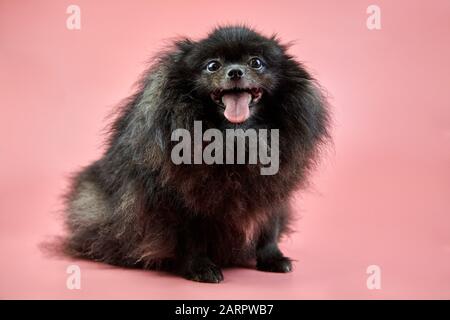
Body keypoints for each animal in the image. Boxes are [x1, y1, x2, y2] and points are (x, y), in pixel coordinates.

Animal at [62, 25, 330, 282]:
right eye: (212, 66)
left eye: (256, 62)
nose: (235, 72)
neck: (235, 139)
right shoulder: (183, 199)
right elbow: (192, 239)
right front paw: (200, 267)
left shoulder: (272, 191)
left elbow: (269, 229)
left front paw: (272, 258)